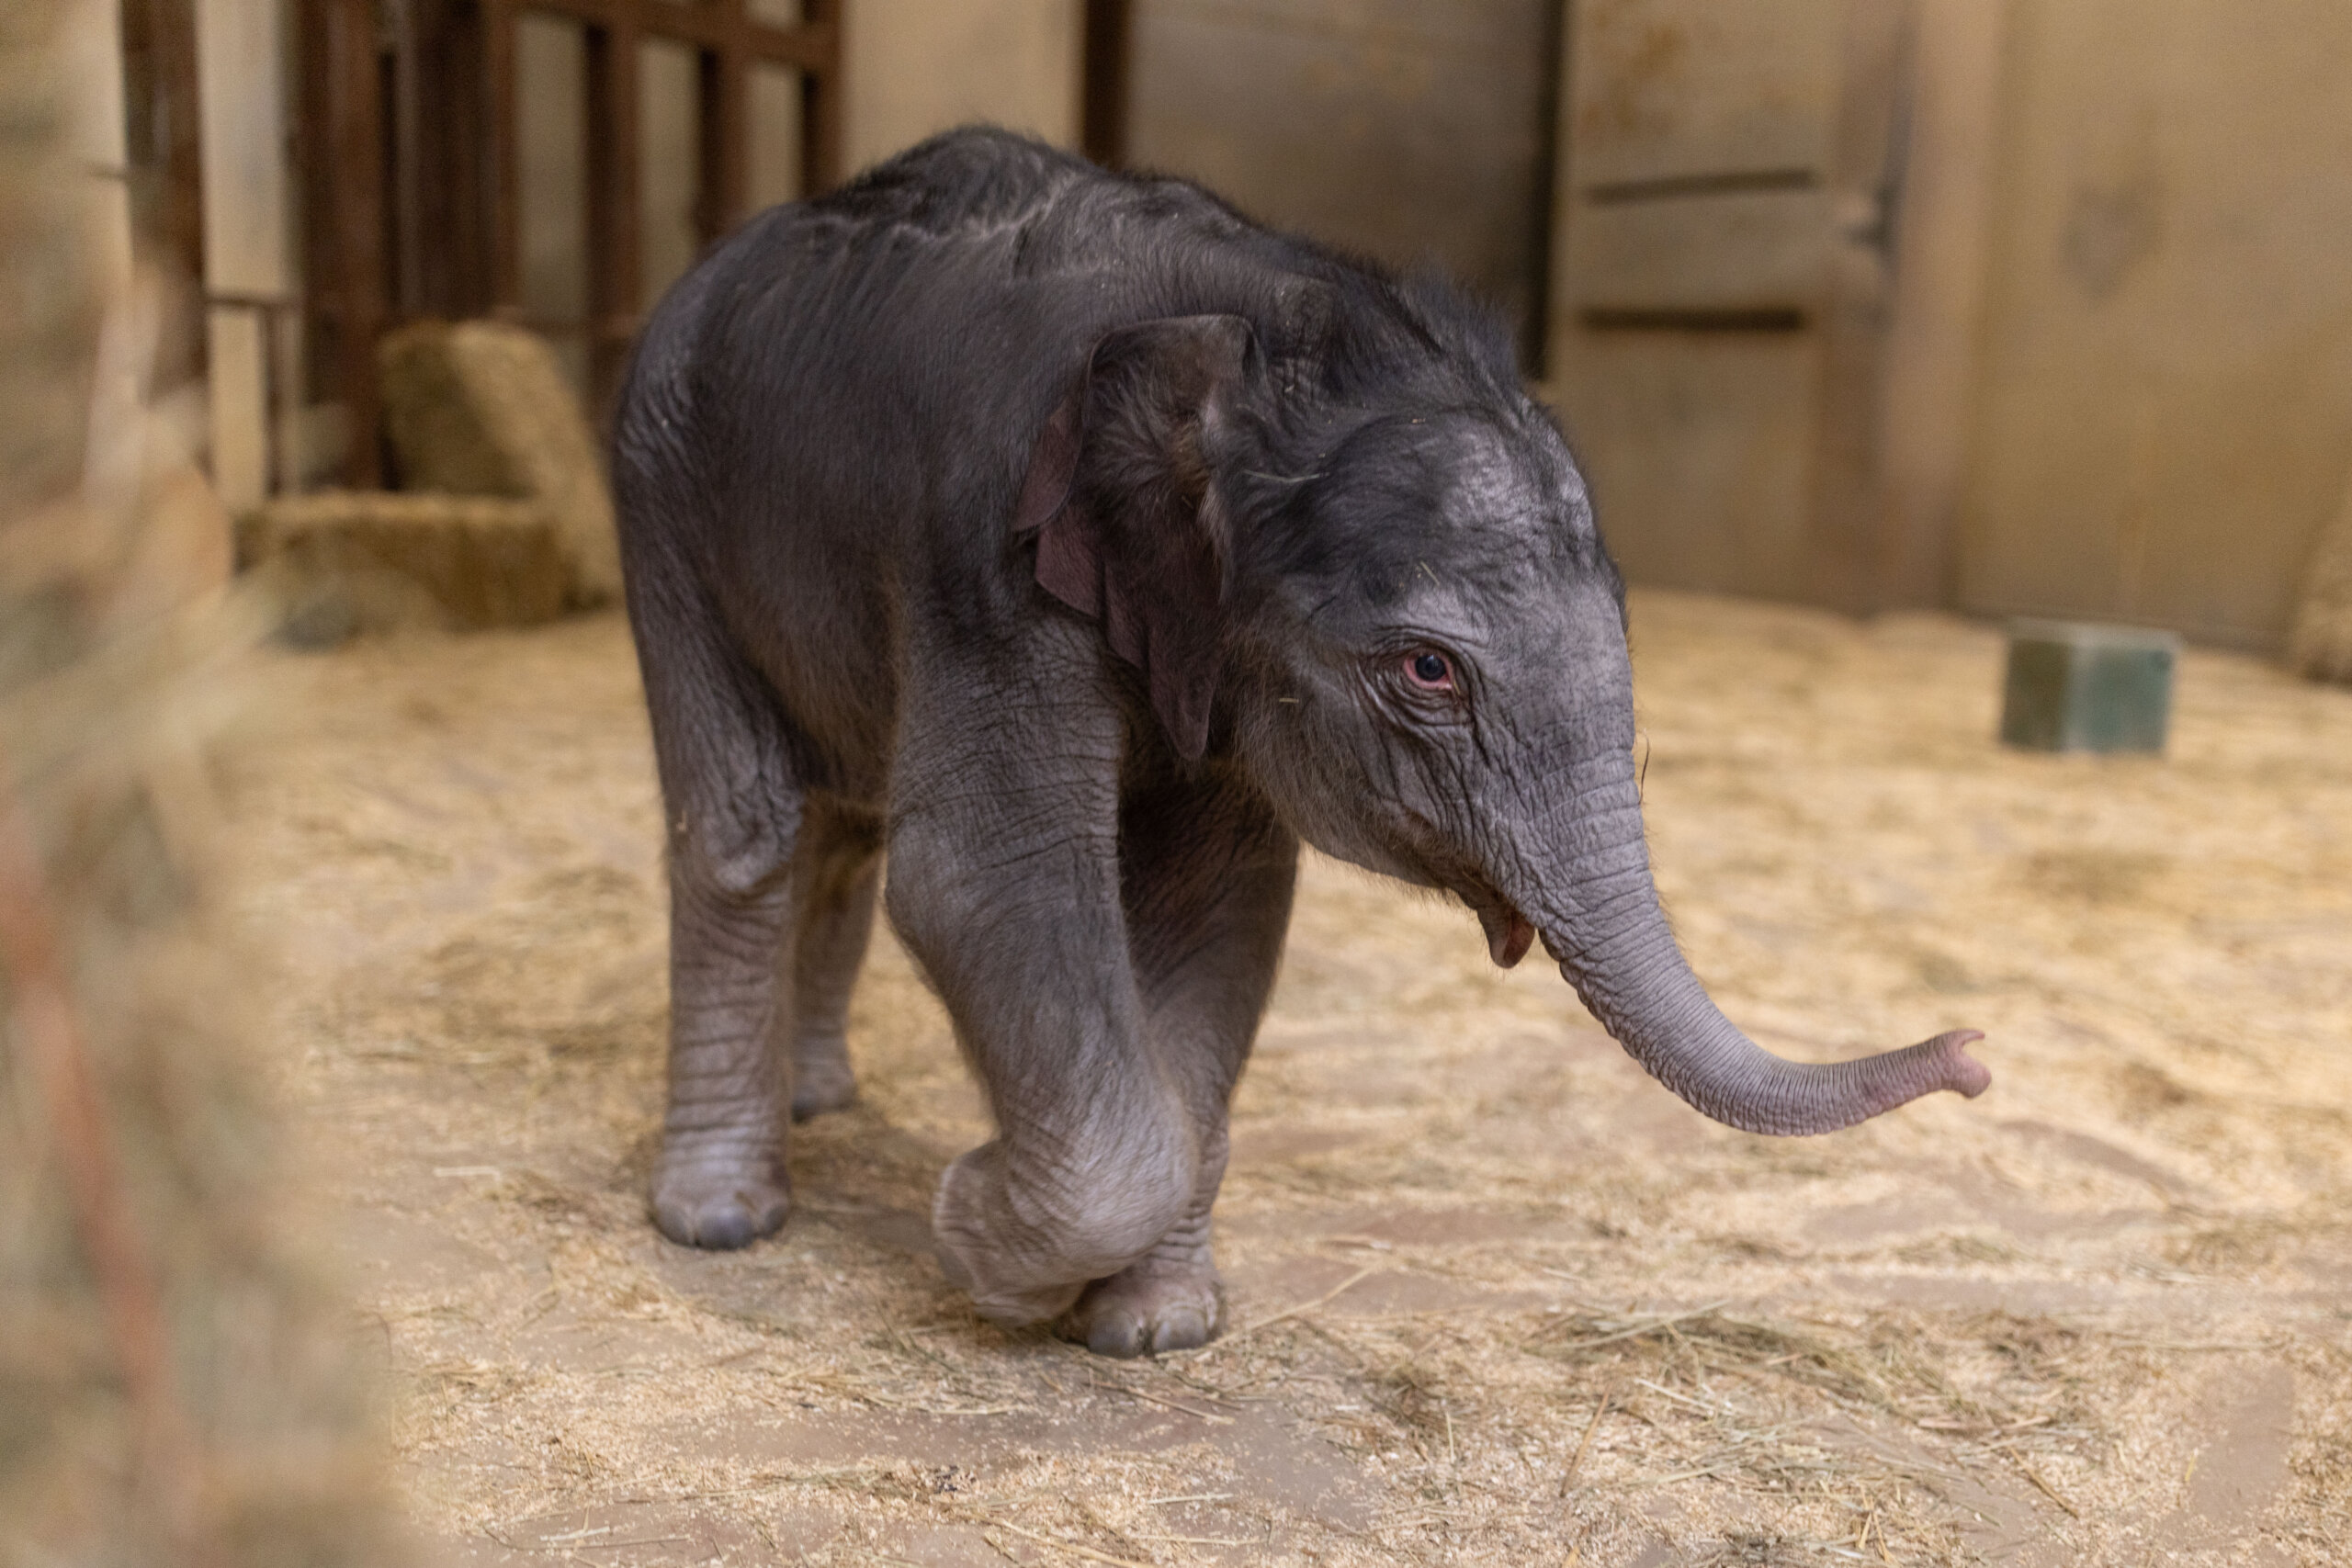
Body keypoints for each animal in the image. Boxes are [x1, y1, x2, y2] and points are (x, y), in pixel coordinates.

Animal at [610, 128, 1988, 1357]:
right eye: (1428, 669)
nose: (1975, 1056)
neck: (1266, 331)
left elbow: (1216, 908)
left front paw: (1154, 1327)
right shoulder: (985, 560)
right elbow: (979, 884)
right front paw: (973, 1225)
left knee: (844, 818)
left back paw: (820, 1097)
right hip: (659, 482)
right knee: (748, 827)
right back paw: (723, 1215)